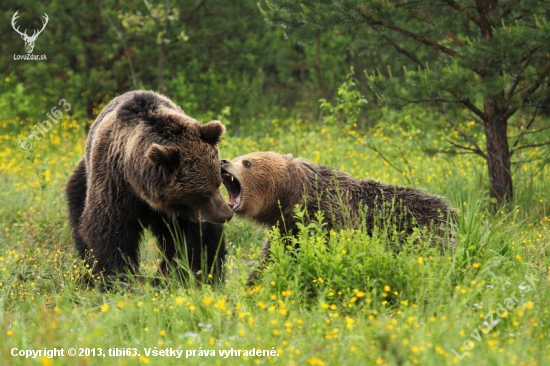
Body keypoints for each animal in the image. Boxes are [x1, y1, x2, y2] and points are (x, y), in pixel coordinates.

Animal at [66, 91, 234, 286]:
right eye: (202, 193)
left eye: (217, 183)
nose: (226, 214)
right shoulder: (115, 183)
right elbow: (110, 231)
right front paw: (121, 278)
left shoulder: (180, 214)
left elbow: (188, 242)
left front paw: (169, 277)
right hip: (83, 180)